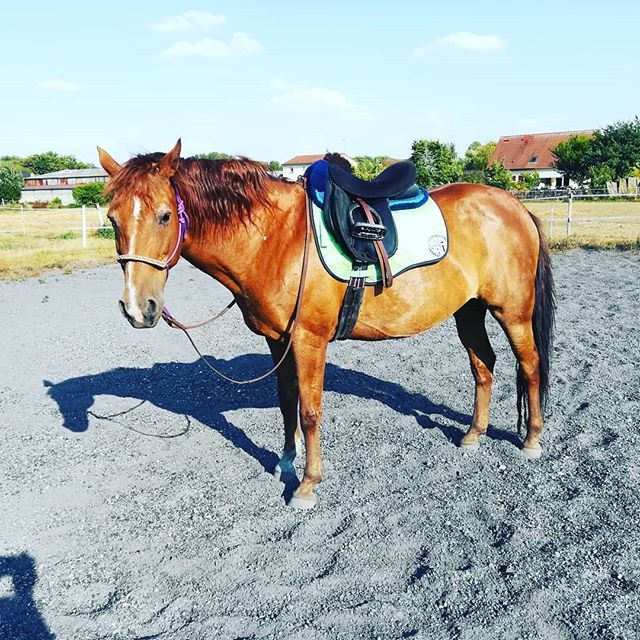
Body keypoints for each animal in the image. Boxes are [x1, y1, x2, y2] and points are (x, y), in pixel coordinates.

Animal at [97, 139, 555, 509]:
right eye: (113, 219)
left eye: (164, 216)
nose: (138, 308)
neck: (276, 238)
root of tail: (513, 205)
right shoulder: (277, 341)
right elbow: (287, 403)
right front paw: (285, 462)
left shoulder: (308, 340)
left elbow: (311, 411)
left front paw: (307, 485)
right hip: (469, 311)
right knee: (483, 366)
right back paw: (473, 434)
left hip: (512, 313)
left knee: (530, 364)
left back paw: (532, 438)